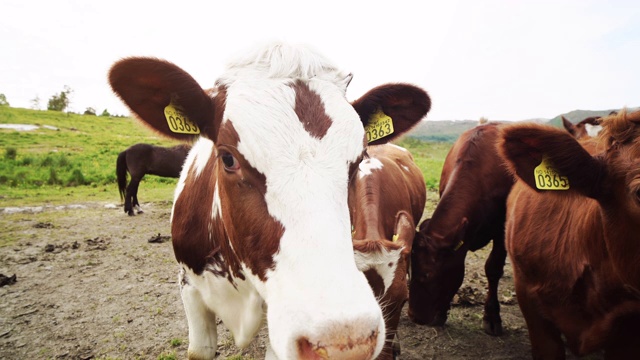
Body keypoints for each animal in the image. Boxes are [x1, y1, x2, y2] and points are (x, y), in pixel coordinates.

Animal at [410, 122, 510, 336]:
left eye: (428, 275)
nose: (414, 316)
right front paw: (441, 314)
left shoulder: (502, 229)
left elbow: (493, 268)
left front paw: (492, 316)